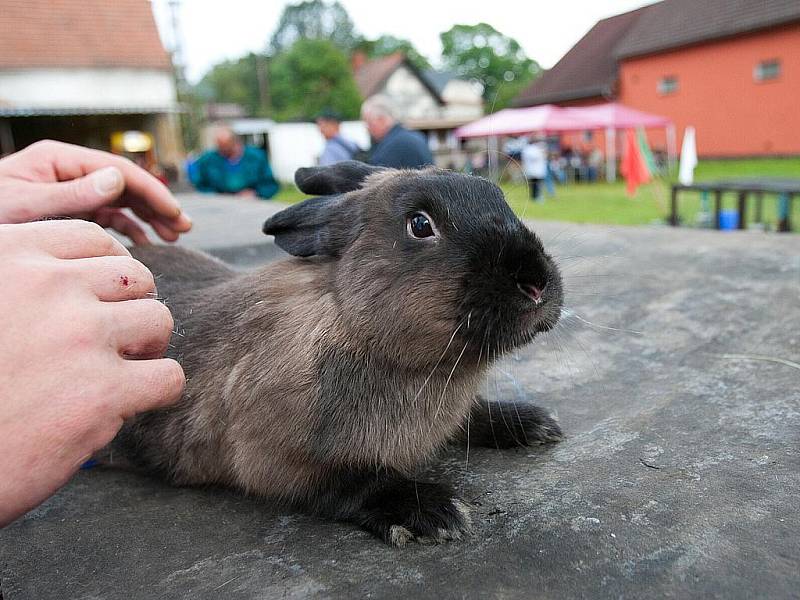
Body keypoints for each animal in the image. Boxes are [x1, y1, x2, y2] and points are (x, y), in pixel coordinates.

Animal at [111, 162, 564, 548]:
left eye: (498, 197)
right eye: (420, 225)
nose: (535, 283)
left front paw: (532, 424)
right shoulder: (276, 460)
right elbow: (353, 484)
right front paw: (432, 512)